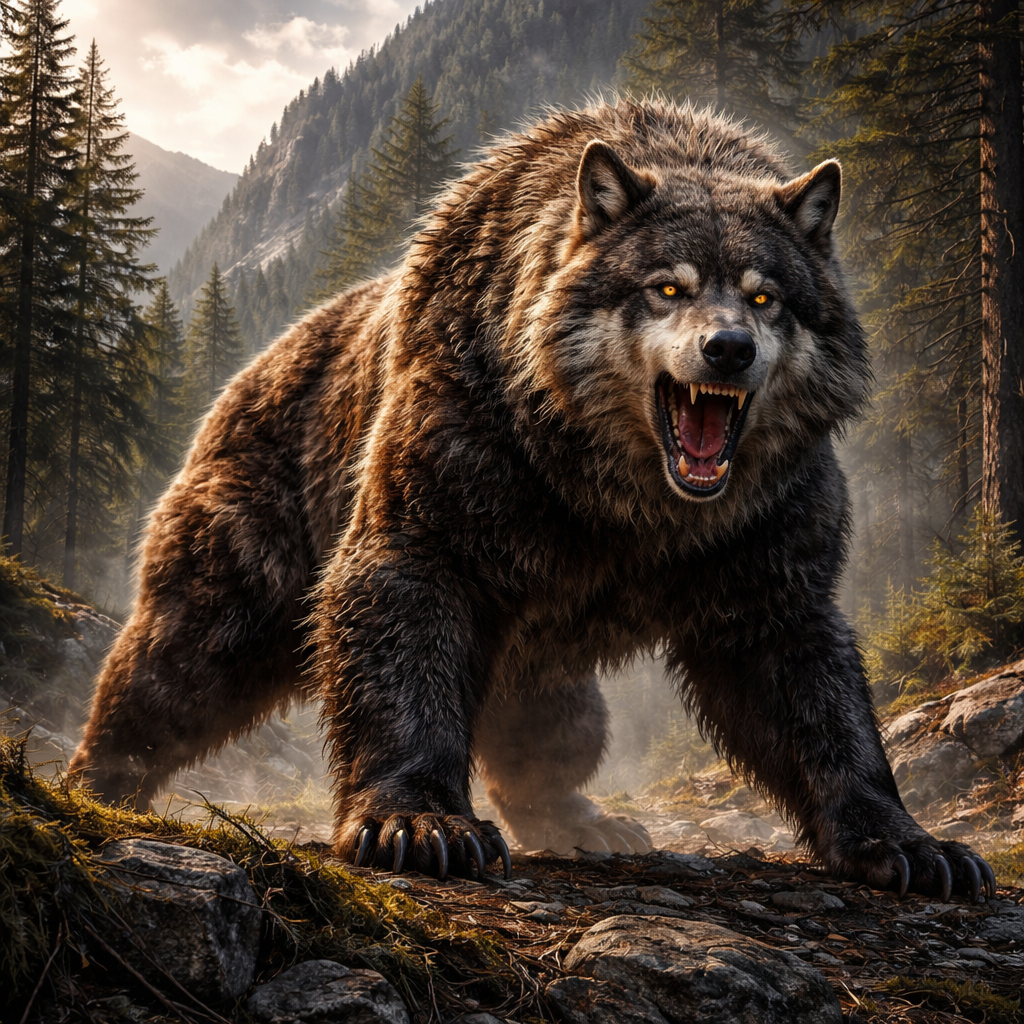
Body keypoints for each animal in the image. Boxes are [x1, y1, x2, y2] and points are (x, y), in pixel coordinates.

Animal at [70, 99, 994, 900]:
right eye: (668, 286)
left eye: (766, 294)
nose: (728, 348)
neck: (618, 493)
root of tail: (249, 368)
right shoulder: (467, 450)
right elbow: (401, 602)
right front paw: (422, 824)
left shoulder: (763, 523)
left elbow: (806, 681)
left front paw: (915, 845)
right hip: (256, 519)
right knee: (177, 664)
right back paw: (98, 781)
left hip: (547, 654)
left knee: (558, 729)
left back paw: (587, 818)